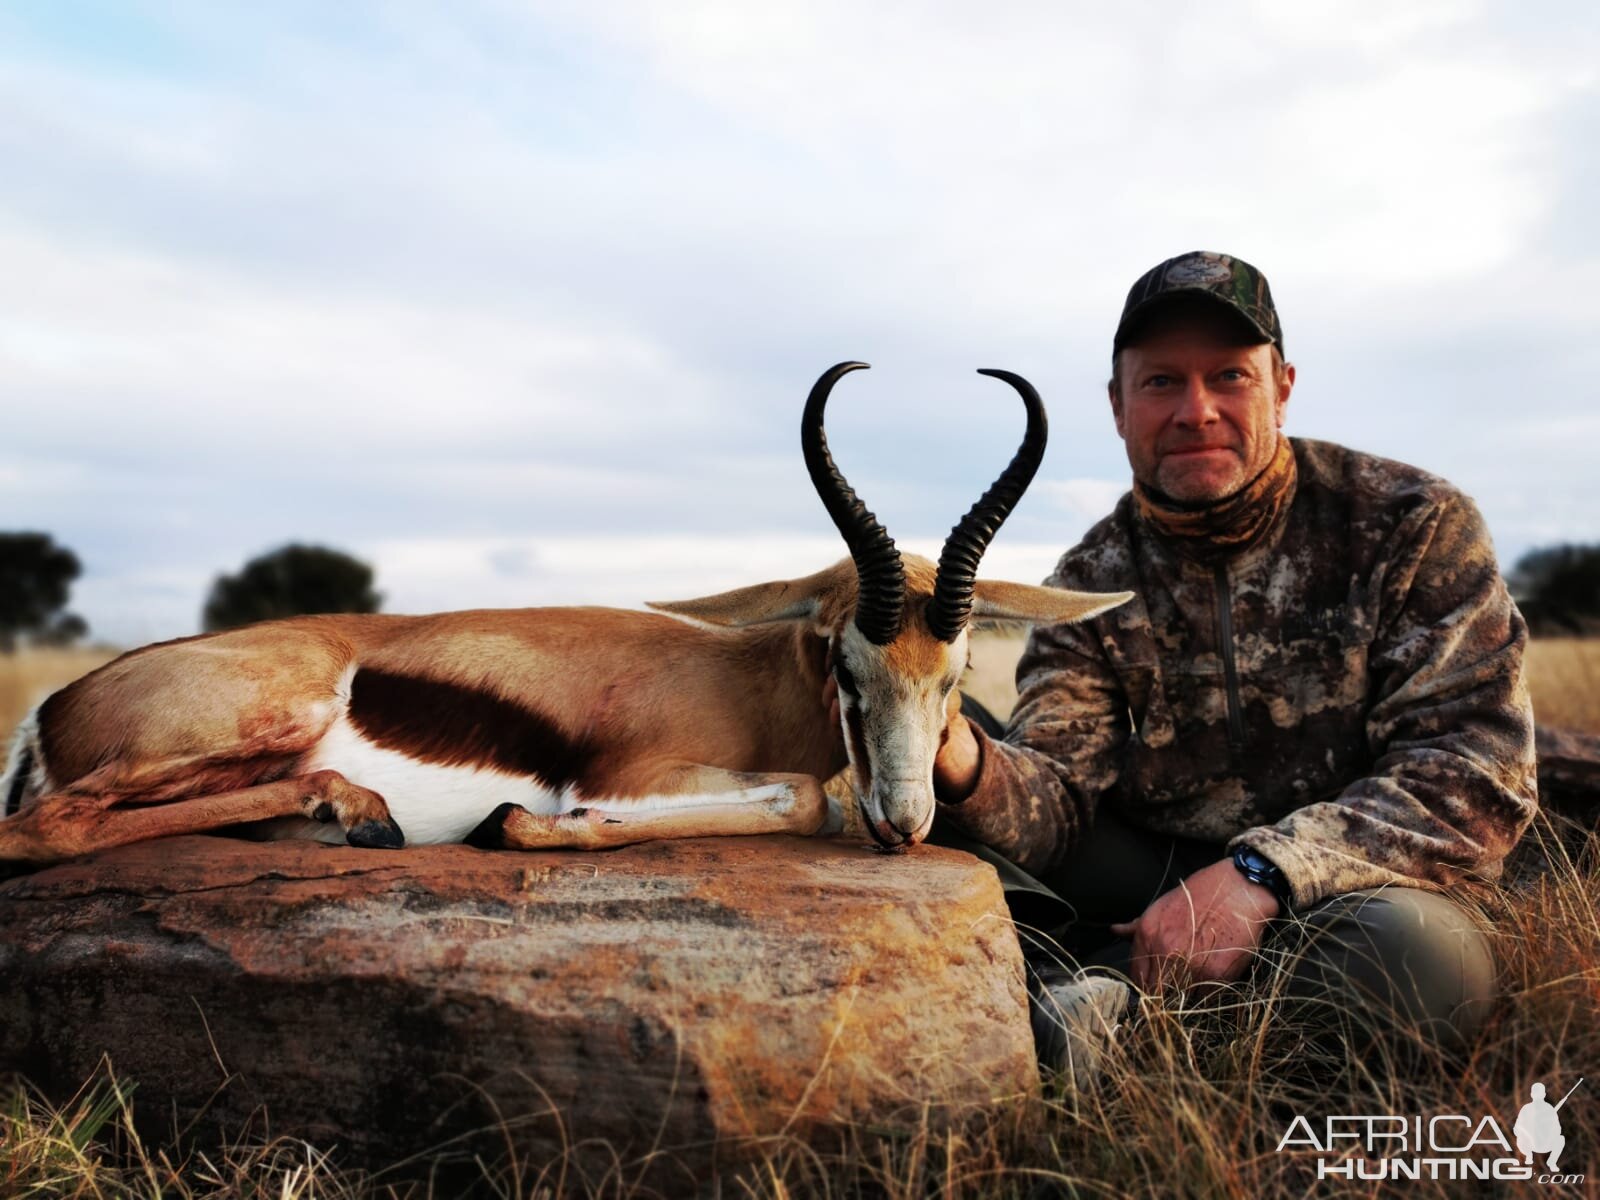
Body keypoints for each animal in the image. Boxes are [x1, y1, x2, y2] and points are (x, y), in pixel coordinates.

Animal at [0, 361, 1132, 870]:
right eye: (842, 662)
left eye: (954, 676)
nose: (904, 823)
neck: (752, 681)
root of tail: (50, 711)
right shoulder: (639, 771)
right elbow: (806, 798)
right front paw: (518, 823)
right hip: (266, 714)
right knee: (47, 825)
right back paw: (356, 810)